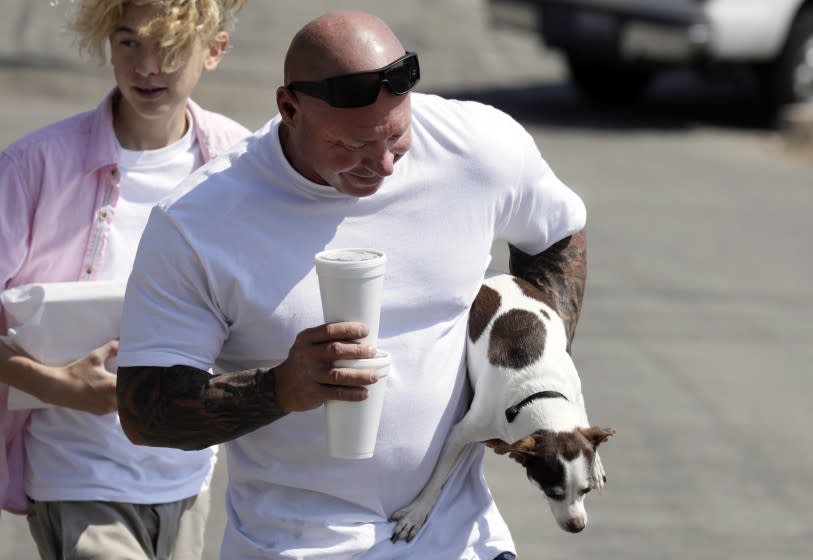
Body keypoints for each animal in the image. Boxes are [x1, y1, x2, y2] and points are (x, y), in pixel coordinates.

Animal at [390, 272, 612, 544]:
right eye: (552, 492)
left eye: (585, 490)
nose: (577, 526)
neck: (538, 393)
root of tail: (499, 275)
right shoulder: (460, 433)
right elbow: (437, 478)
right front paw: (418, 512)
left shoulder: (576, 402)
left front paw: (597, 461)